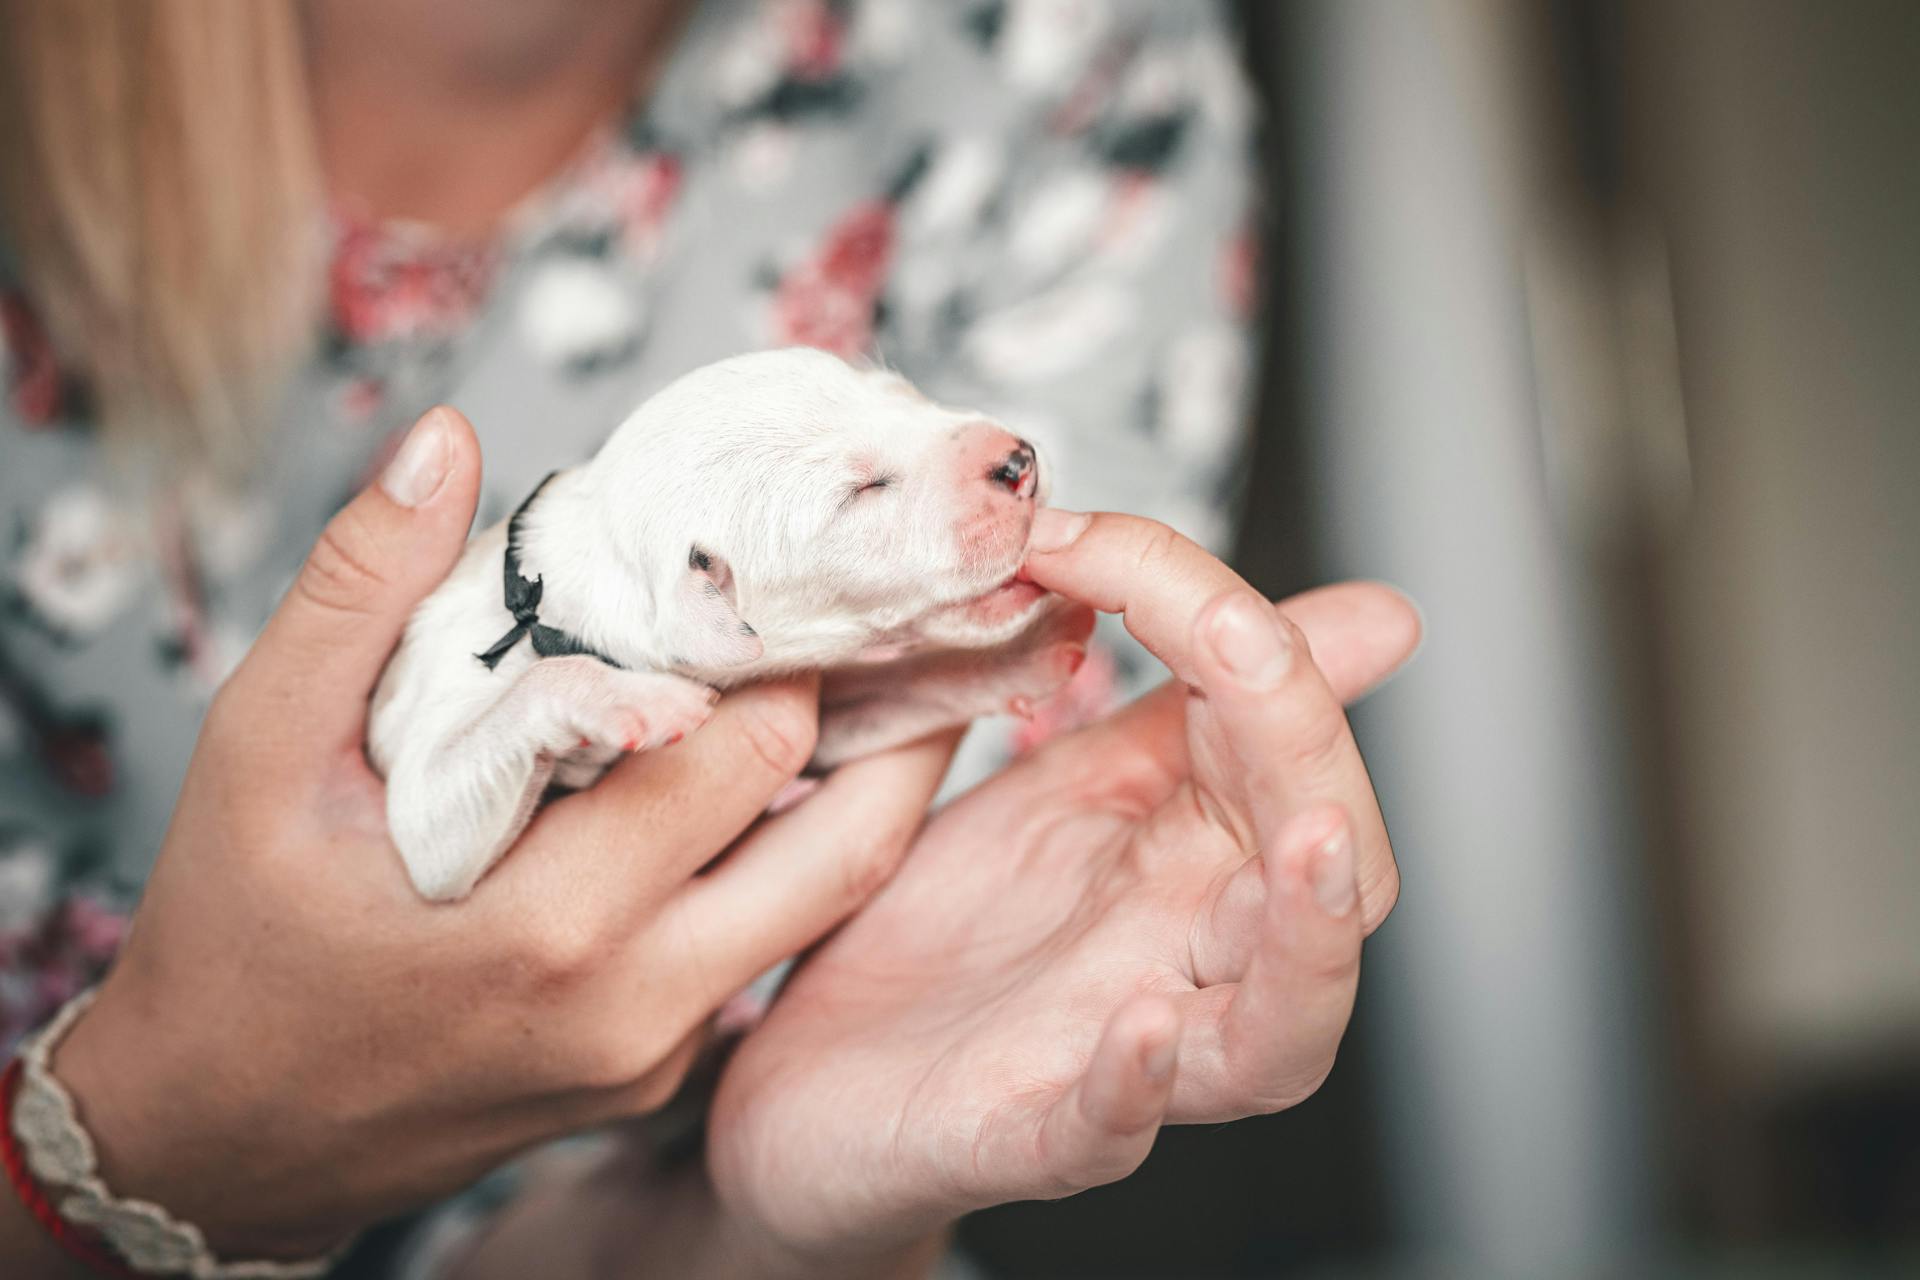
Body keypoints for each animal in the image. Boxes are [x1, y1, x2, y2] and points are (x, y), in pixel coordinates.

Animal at [370, 345, 1098, 898]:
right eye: (860, 493)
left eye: (902, 390)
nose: (1019, 460)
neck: (550, 592)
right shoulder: (430, 794)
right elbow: (453, 792)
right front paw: (639, 701)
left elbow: (900, 687)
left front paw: (1022, 654)